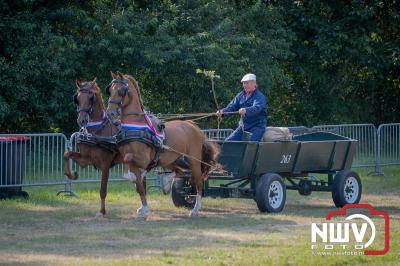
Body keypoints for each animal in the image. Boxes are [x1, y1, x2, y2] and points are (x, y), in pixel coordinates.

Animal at [62, 78, 121, 217]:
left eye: (90, 97)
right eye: (77, 98)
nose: (81, 120)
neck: (96, 130)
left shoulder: (105, 165)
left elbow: (103, 190)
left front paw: (102, 211)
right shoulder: (85, 159)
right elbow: (66, 154)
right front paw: (73, 174)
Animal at [105, 71, 219, 219]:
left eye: (121, 91)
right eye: (110, 90)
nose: (110, 113)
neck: (135, 127)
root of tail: (193, 125)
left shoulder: (143, 159)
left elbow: (131, 165)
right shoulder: (135, 162)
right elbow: (139, 186)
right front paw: (144, 209)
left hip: (193, 160)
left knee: (198, 181)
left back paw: (195, 209)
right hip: (170, 160)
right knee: (180, 171)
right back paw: (166, 184)